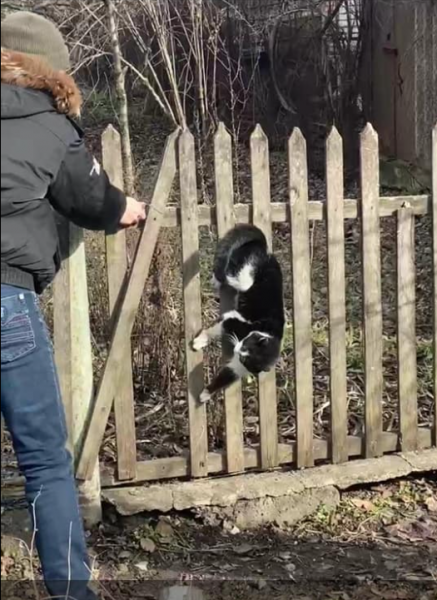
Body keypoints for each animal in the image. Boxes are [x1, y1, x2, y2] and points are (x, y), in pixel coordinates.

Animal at [192, 224, 284, 404]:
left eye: (244, 358)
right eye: (246, 345)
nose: (236, 350)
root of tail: (264, 249)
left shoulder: (240, 368)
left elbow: (227, 375)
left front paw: (207, 393)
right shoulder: (233, 319)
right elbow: (213, 330)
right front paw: (200, 341)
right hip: (243, 276)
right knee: (227, 269)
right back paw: (216, 279)